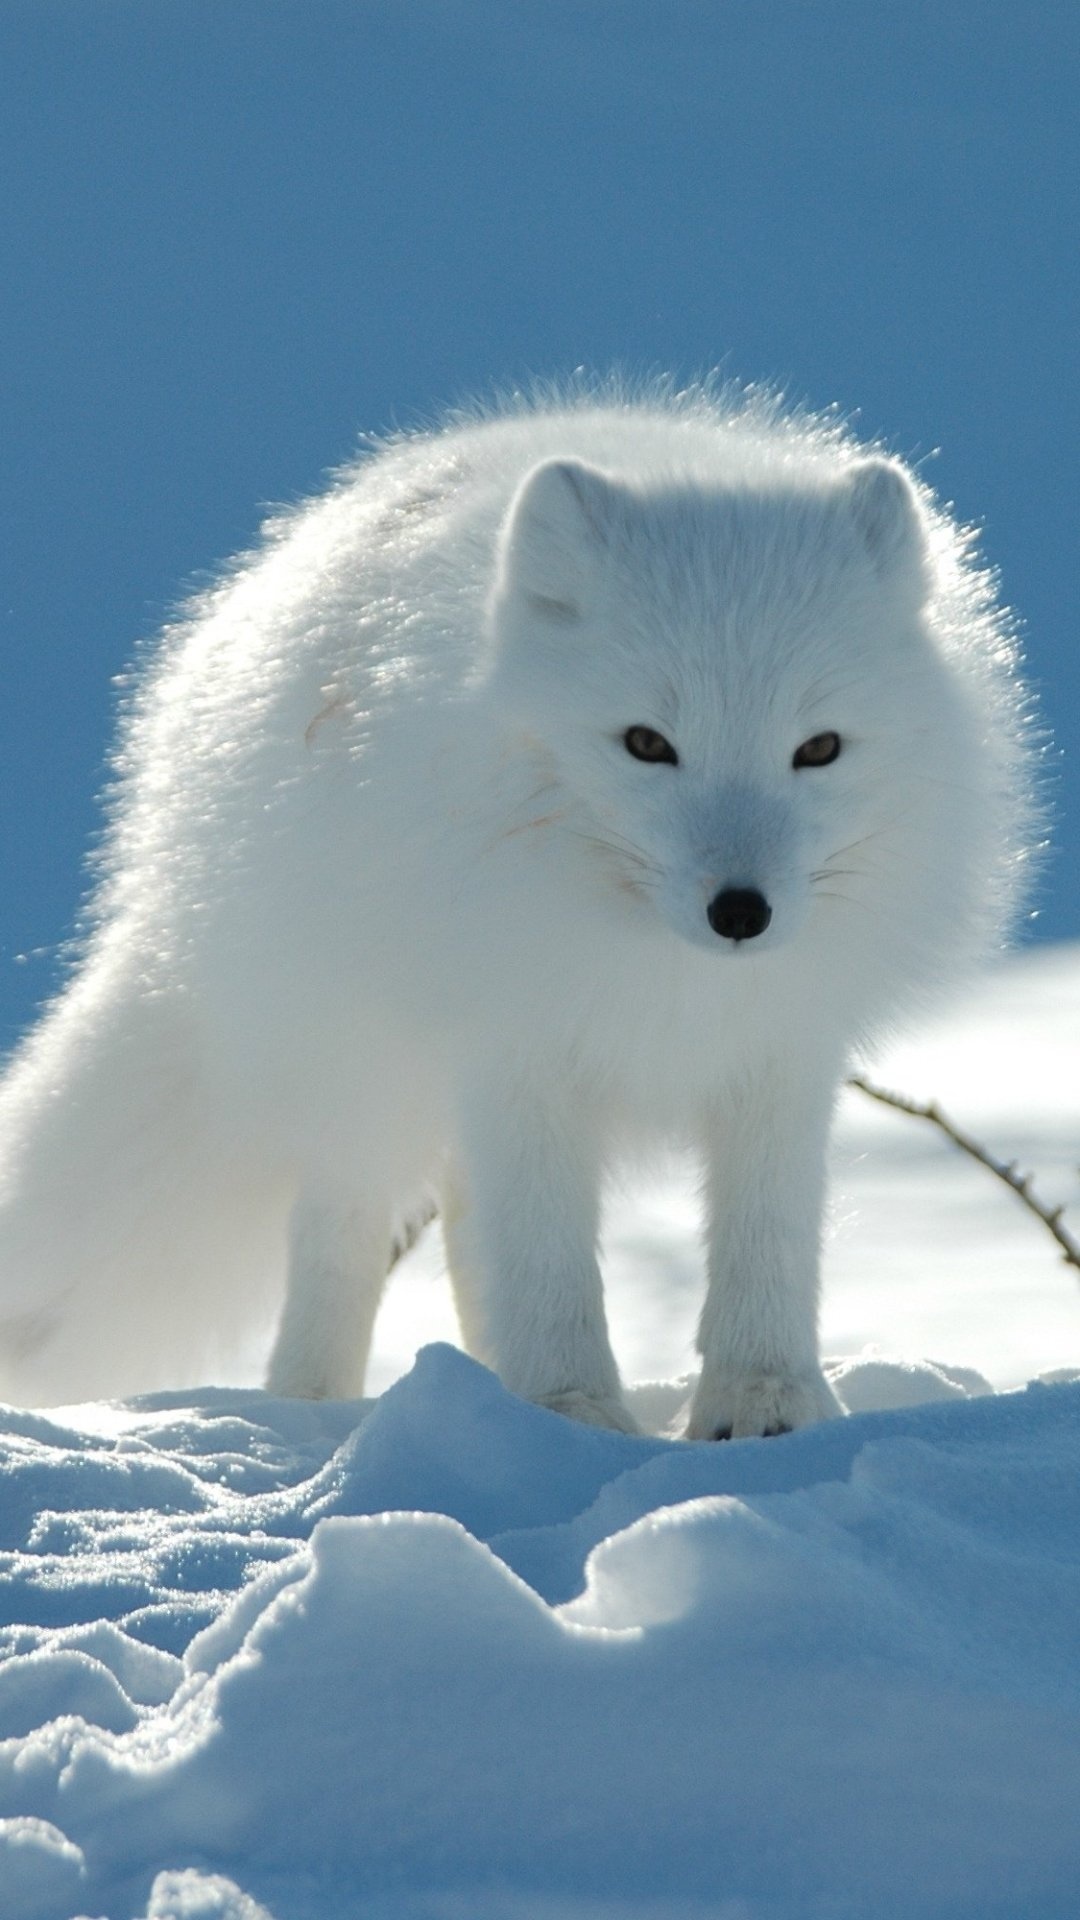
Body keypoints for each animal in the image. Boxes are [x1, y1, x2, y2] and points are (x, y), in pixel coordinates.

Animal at [0, 389, 1022, 1436]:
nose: (742, 912)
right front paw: (572, 1411)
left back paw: (482, 1385)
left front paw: (765, 1405)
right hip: (358, 1062)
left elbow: (766, 1241)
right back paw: (315, 1409)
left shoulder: (780, 1055)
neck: (664, 975)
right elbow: (546, 1260)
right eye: (647, 743)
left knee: (461, 1231)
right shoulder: (516, 1046)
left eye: (818, 749)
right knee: (344, 1231)